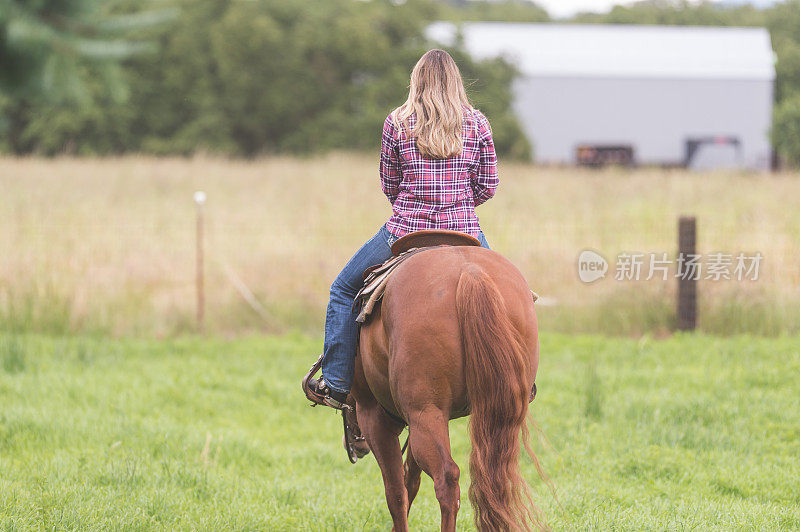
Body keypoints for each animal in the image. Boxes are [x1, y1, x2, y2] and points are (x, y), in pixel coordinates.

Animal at [352, 245, 544, 532]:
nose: (357, 445)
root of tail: (470, 272)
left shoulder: (374, 416)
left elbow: (395, 492)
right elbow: (410, 480)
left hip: (424, 412)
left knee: (446, 479)